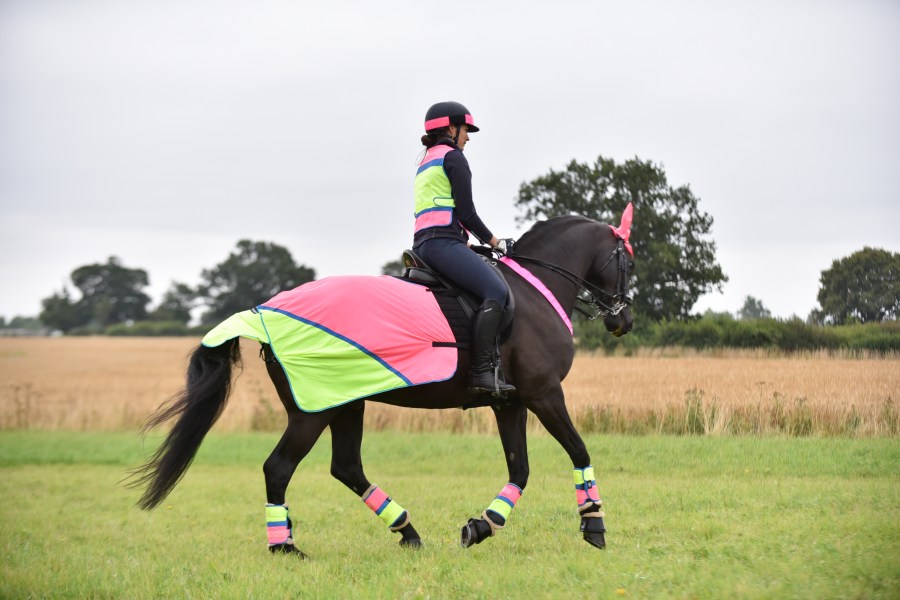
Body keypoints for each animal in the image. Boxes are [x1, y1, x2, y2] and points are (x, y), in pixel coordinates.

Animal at [132, 207, 632, 556]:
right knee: (279, 467)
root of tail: (262, 312)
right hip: (312, 412)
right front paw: (594, 525)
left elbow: (520, 470)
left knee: (346, 467)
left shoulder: (509, 402)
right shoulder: (544, 393)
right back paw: (285, 546)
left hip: (345, 403)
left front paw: (481, 526)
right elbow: (579, 451)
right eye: (627, 259)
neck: (533, 291)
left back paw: (408, 532)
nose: (623, 319)